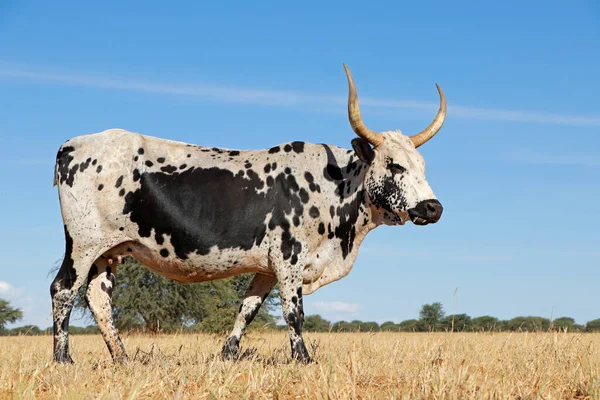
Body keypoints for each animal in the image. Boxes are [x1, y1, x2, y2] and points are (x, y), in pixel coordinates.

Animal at [51, 64, 446, 364]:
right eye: (394, 165)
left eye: (423, 165)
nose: (433, 207)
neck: (334, 185)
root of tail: (72, 144)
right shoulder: (289, 259)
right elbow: (293, 313)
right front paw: (303, 360)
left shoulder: (266, 268)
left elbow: (247, 308)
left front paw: (227, 354)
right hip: (84, 243)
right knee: (64, 289)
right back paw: (63, 359)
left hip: (109, 252)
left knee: (99, 298)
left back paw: (123, 359)